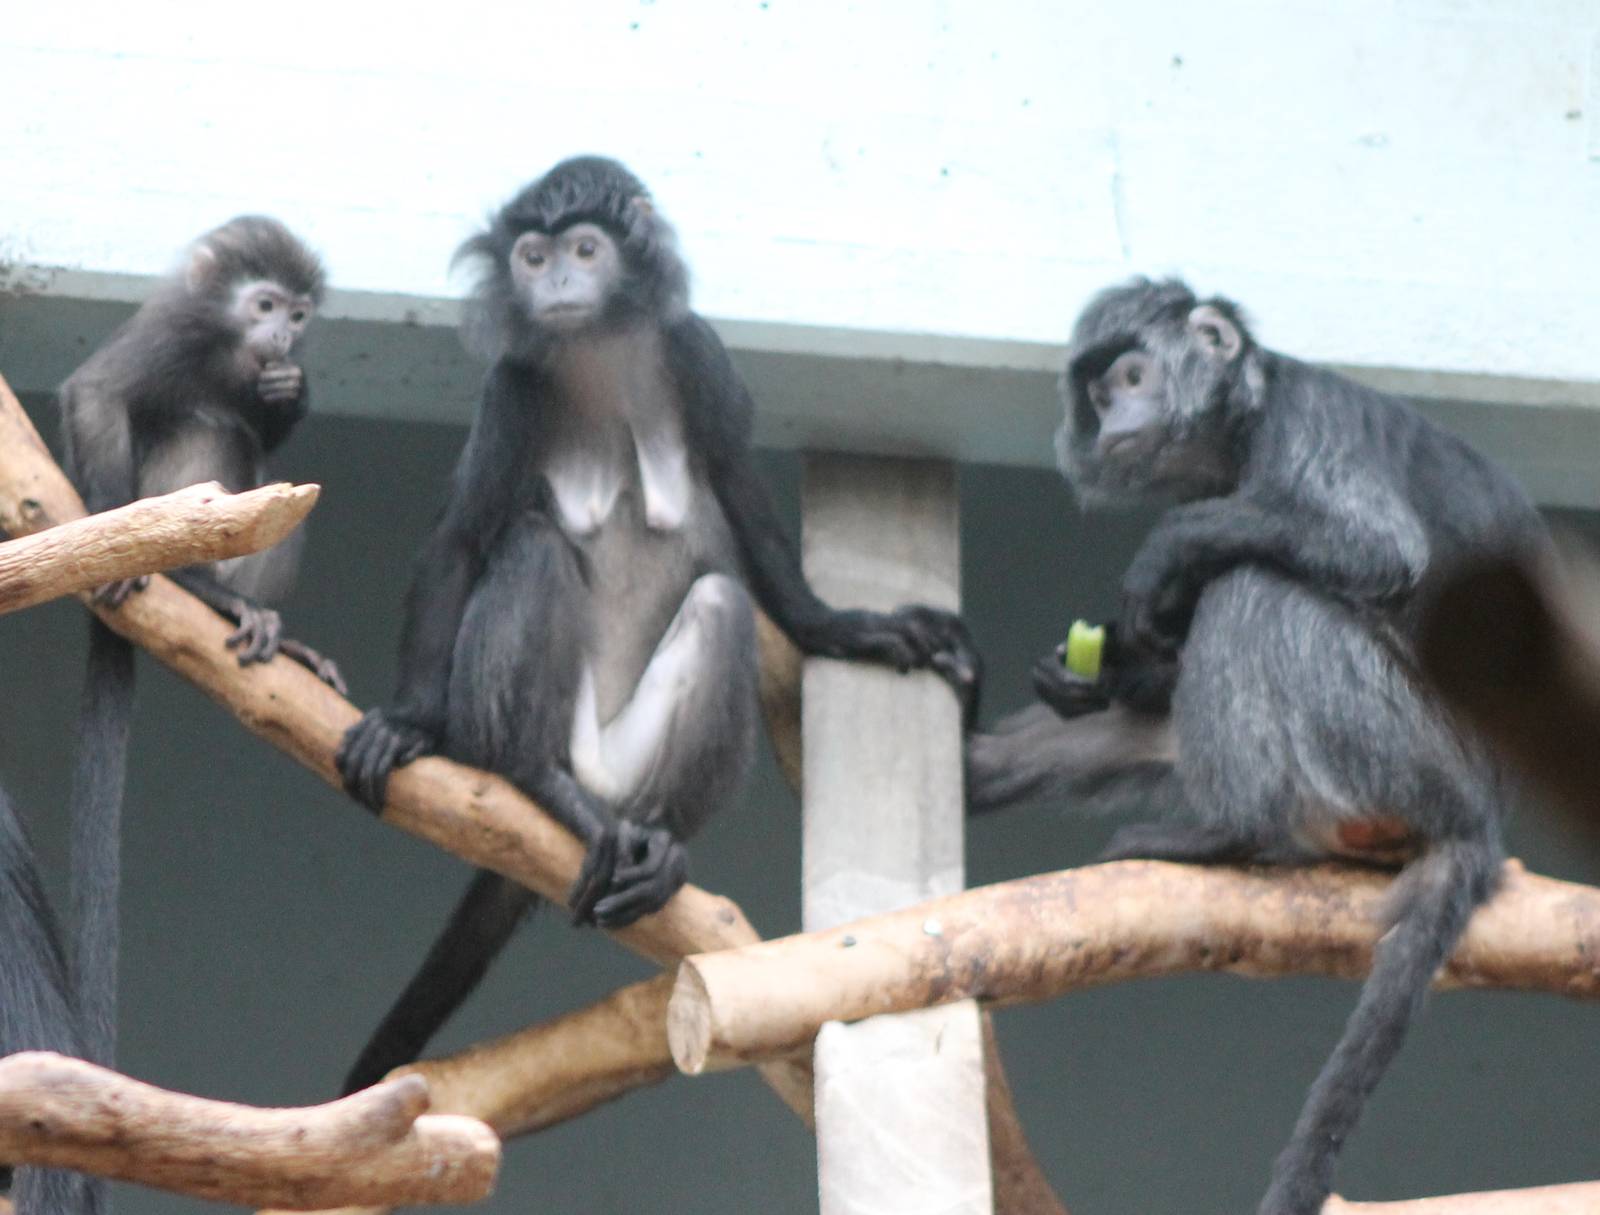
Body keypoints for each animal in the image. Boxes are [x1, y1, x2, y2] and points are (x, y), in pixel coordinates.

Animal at [58, 216, 344, 1071]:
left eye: (298, 313)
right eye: (264, 303)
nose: (283, 334)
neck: (230, 350)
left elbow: (271, 419)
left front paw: (291, 389)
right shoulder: (175, 331)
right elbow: (98, 392)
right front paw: (107, 527)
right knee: (208, 428)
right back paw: (196, 583)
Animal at [335, 156, 979, 1093]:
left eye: (585, 249)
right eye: (532, 256)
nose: (556, 284)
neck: (600, 352)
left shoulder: (697, 353)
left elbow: (738, 487)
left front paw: (842, 625)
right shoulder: (510, 386)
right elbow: (461, 537)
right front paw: (408, 719)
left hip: (634, 770)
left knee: (720, 601)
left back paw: (659, 849)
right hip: (555, 731)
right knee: (532, 545)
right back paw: (537, 779)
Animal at [966, 278, 1547, 1215]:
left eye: (1134, 375)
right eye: (1099, 394)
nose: (1116, 412)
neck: (1245, 424)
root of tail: (1482, 824)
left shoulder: (1306, 422)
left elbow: (1377, 547)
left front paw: (1163, 554)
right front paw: (1098, 667)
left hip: (1400, 749)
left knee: (1253, 586)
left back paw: (1226, 832)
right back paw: (975, 766)